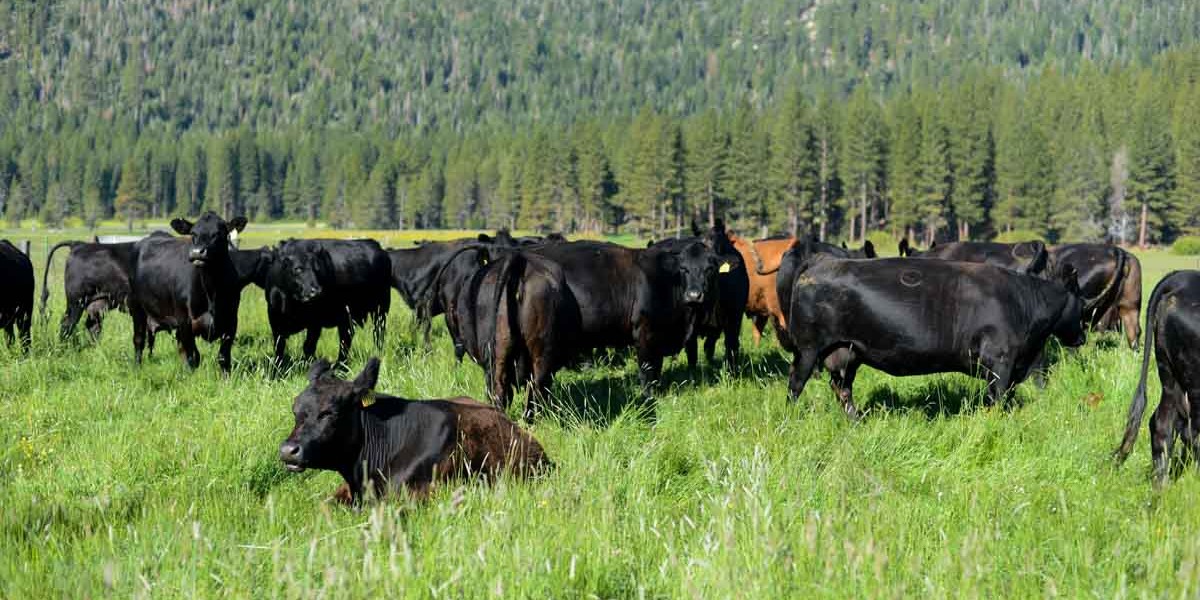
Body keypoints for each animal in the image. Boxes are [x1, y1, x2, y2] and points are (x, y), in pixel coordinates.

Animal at [128, 212, 248, 374]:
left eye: (218, 233)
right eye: (193, 233)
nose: (197, 252)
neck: (211, 291)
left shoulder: (231, 320)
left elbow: (223, 357)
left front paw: (225, 377)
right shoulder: (185, 320)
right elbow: (193, 356)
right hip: (137, 307)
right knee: (139, 340)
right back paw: (136, 368)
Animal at [264, 238, 391, 367]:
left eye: (317, 269)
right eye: (298, 269)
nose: (316, 291)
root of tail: (374, 244)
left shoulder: (315, 323)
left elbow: (308, 346)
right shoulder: (274, 319)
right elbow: (279, 347)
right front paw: (276, 369)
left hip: (380, 310)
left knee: (377, 336)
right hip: (348, 318)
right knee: (346, 340)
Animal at [527, 239, 722, 397]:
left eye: (710, 269)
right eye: (683, 269)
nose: (694, 295)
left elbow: (657, 369)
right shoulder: (644, 333)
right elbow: (647, 370)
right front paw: (648, 396)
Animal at [781, 243, 1085, 419]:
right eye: (1082, 301)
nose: (1082, 338)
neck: (1023, 300)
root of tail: (820, 261)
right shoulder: (1000, 361)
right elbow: (997, 400)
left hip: (847, 351)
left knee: (842, 389)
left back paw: (856, 421)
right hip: (808, 348)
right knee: (796, 383)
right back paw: (790, 419)